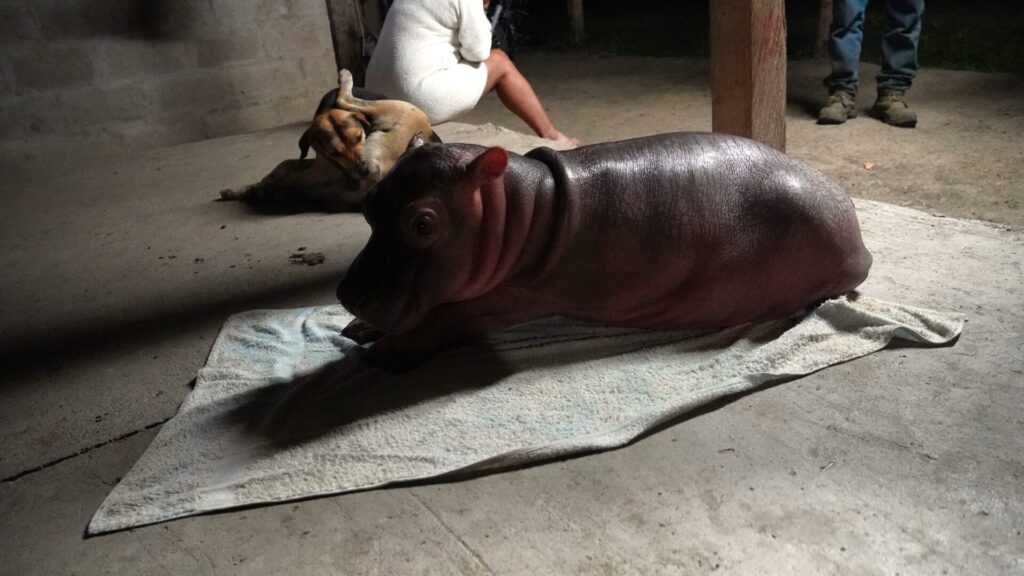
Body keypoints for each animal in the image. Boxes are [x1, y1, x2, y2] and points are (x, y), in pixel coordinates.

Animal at [218, 67, 434, 211]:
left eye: (359, 137)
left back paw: (345, 77)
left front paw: (257, 188)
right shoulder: (321, 164)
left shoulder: (321, 172)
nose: (362, 171)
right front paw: (246, 189)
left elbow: (286, 174)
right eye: (334, 152)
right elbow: (284, 165)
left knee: (344, 98)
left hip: (390, 107)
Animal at [337, 131, 872, 366]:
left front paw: (379, 350)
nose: (346, 295)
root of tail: (862, 246)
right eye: (369, 201)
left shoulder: (512, 298)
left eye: (423, 223)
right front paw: (358, 328)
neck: (519, 207)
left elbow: (445, 317)